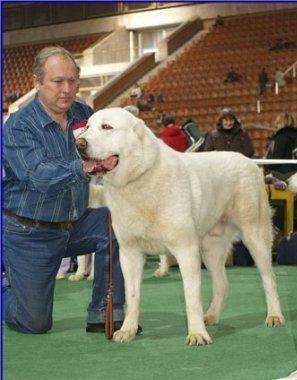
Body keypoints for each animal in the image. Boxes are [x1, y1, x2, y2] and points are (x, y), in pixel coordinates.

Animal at [77, 108, 284, 346]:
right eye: (87, 127)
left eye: (107, 127)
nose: (79, 143)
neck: (140, 177)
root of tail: (250, 162)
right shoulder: (129, 254)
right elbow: (132, 296)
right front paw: (127, 330)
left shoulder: (186, 250)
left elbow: (191, 297)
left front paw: (197, 334)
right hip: (210, 248)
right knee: (222, 284)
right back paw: (211, 316)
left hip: (254, 236)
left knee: (269, 279)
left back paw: (274, 316)